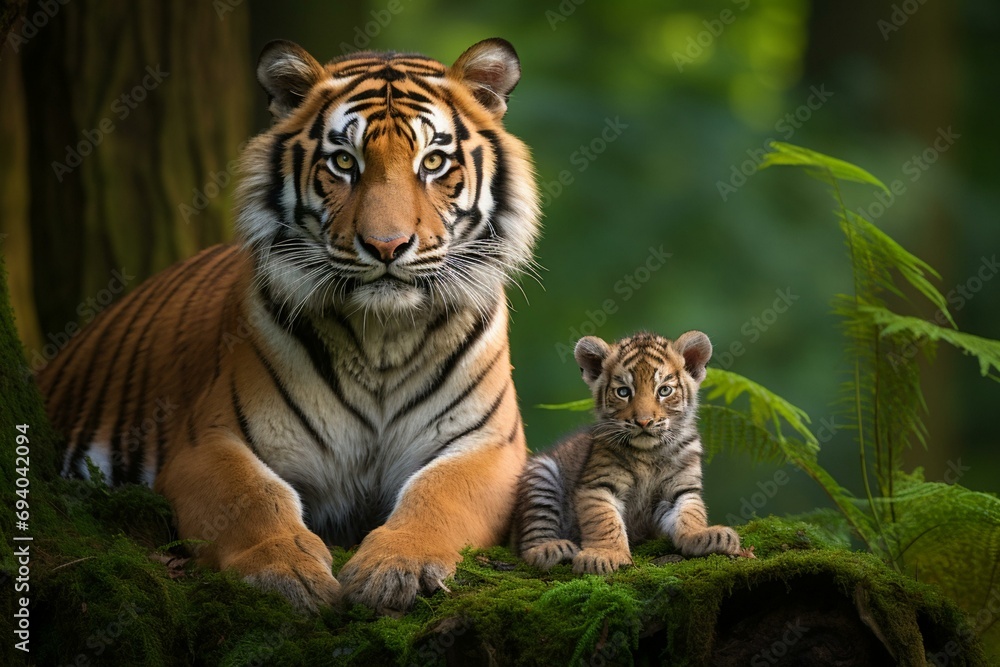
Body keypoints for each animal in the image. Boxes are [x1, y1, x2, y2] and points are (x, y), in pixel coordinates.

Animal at [37, 37, 540, 613]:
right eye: (344, 162)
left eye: (433, 161)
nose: (387, 246)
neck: (383, 337)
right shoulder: (208, 441)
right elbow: (255, 496)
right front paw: (284, 571)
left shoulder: (490, 447)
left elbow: (438, 494)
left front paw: (397, 568)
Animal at [513, 331, 742, 574]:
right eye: (623, 392)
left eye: (664, 390)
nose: (643, 421)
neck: (649, 452)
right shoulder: (599, 484)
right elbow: (605, 520)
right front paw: (605, 555)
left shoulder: (680, 488)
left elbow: (690, 513)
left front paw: (704, 535)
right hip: (542, 475)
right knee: (532, 534)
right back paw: (551, 549)